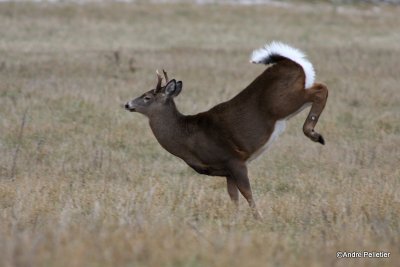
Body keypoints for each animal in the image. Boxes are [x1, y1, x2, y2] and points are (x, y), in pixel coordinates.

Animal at [124, 40, 328, 219]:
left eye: (147, 97)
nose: (127, 104)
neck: (187, 137)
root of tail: (289, 62)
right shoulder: (226, 170)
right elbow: (233, 196)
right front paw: (236, 219)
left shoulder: (233, 158)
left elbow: (247, 193)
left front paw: (259, 218)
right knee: (319, 88)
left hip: (283, 101)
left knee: (321, 90)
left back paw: (313, 133)